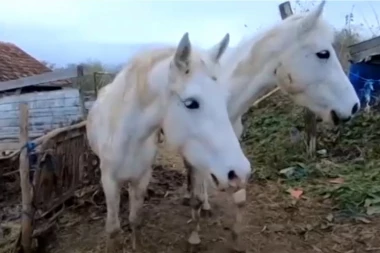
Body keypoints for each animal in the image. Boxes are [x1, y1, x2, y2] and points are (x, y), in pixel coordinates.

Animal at [87, 32, 252, 252]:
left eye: (224, 97)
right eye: (191, 103)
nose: (240, 173)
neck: (128, 139)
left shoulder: (142, 178)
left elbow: (135, 219)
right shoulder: (109, 181)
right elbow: (113, 230)